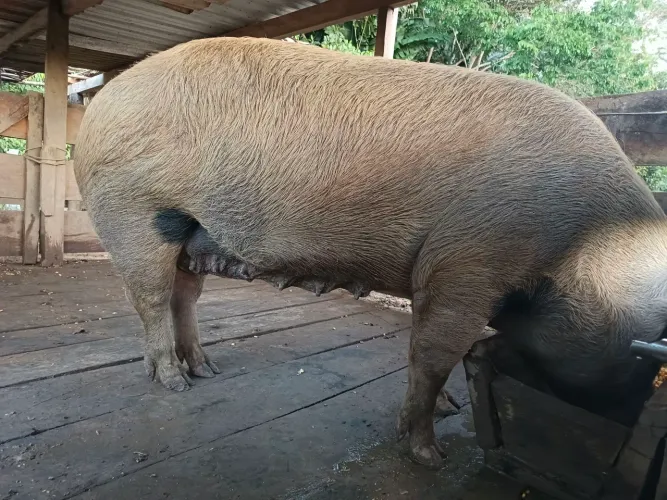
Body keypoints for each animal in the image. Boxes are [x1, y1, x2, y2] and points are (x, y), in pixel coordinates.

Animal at [73, 36, 667, 469]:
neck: (588, 243)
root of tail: (101, 102)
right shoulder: (466, 262)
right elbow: (433, 355)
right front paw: (431, 456)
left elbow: (424, 352)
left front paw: (447, 413)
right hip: (134, 210)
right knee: (150, 299)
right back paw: (174, 382)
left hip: (191, 234)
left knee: (184, 298)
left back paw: (206, 370)